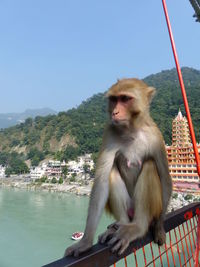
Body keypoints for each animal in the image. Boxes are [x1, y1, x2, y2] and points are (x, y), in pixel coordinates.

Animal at [64, 79, 172, 258]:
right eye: (114, 99)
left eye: (125, 99)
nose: (115, 112)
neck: (132, 130)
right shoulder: (110, 132)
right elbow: (101, 182)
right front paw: (85, 242)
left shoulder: (156, 136)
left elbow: (165, 179)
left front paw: (159, 227)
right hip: (129, 207)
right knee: (111, 172)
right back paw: (120, 224)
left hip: (149, 208)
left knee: (150, 166)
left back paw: (138, 227)